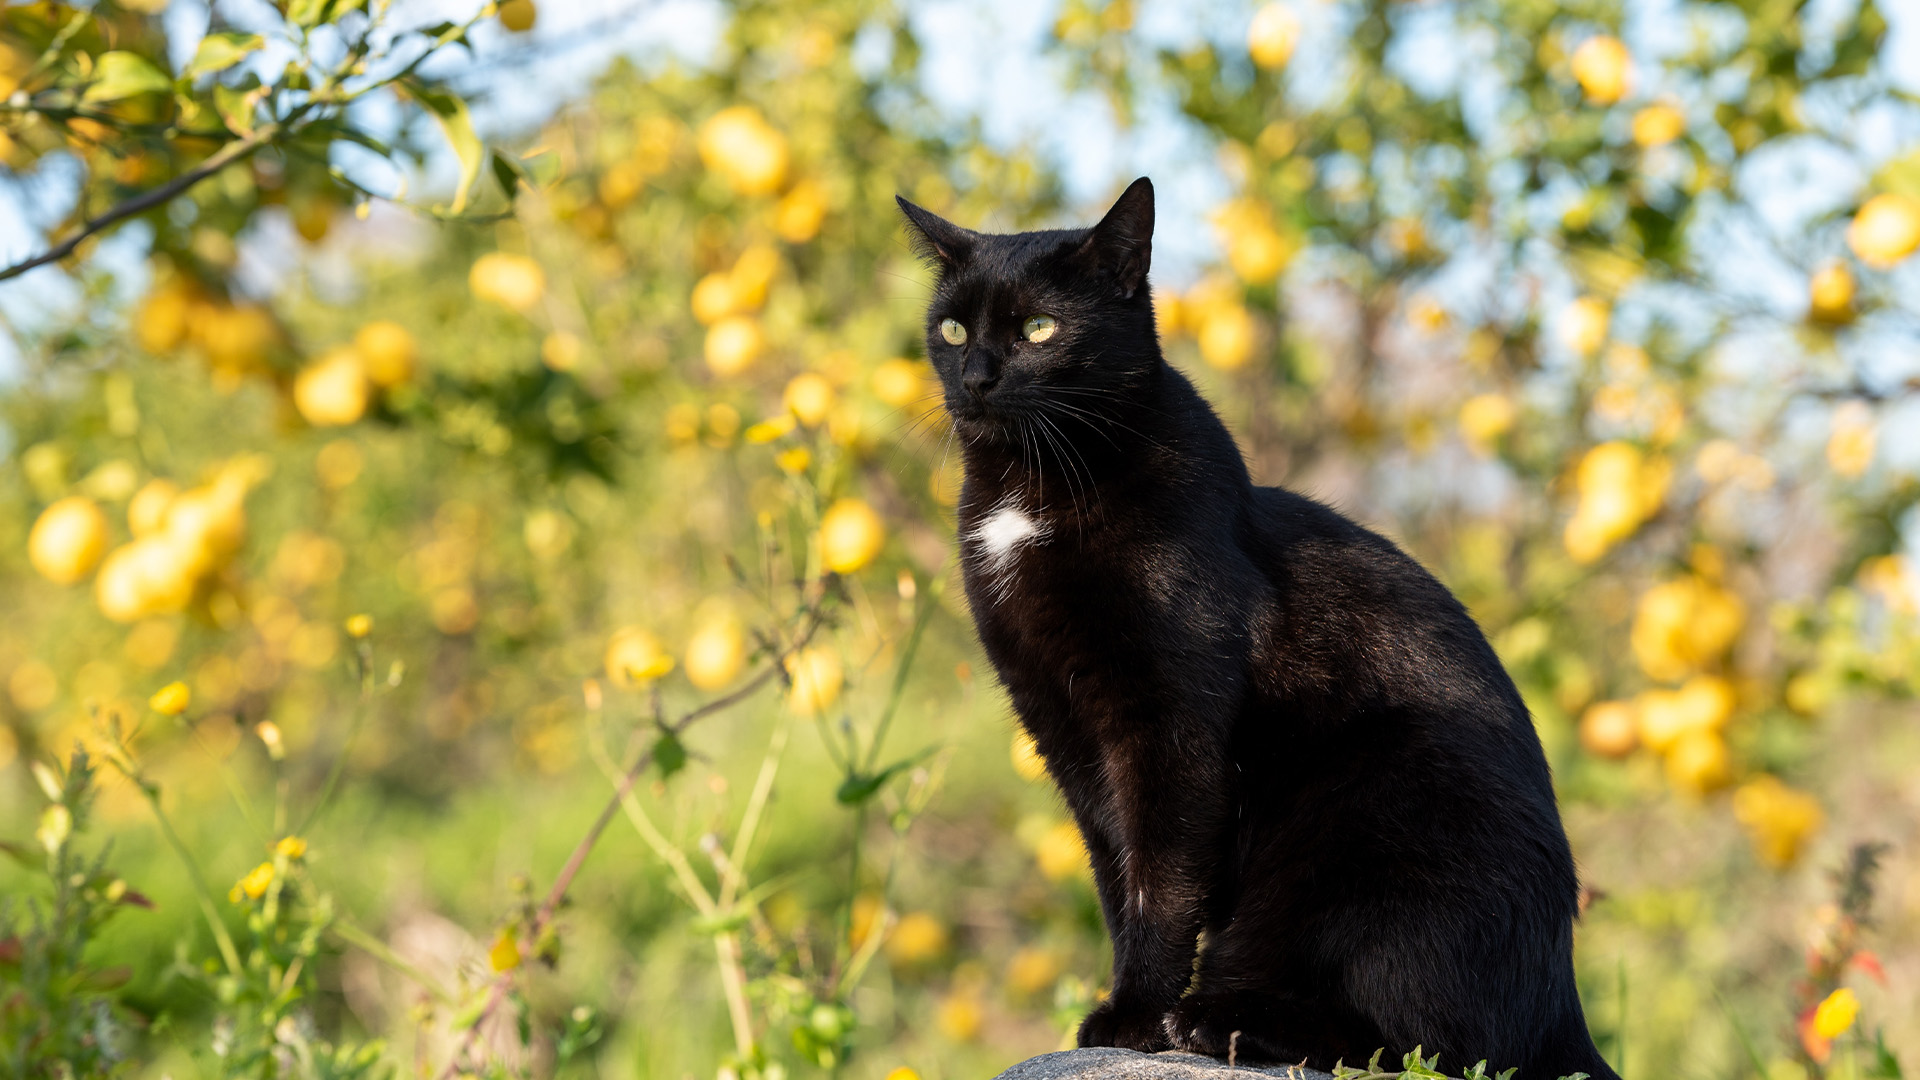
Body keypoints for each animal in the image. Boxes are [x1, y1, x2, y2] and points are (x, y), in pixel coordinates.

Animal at [898, 178, 1620, 1076]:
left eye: (1039, 328)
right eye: (952, 328)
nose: (976, 377)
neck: (1030, 490)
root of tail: (1566, 1007)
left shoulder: (1171, 728)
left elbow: (1163, 879)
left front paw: (1135, 1019)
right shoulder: (1063, 727)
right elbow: (1117, 875)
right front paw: (1129, 1007)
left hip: (1375, 814)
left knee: (1427, 1039)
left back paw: (1222, 1023)